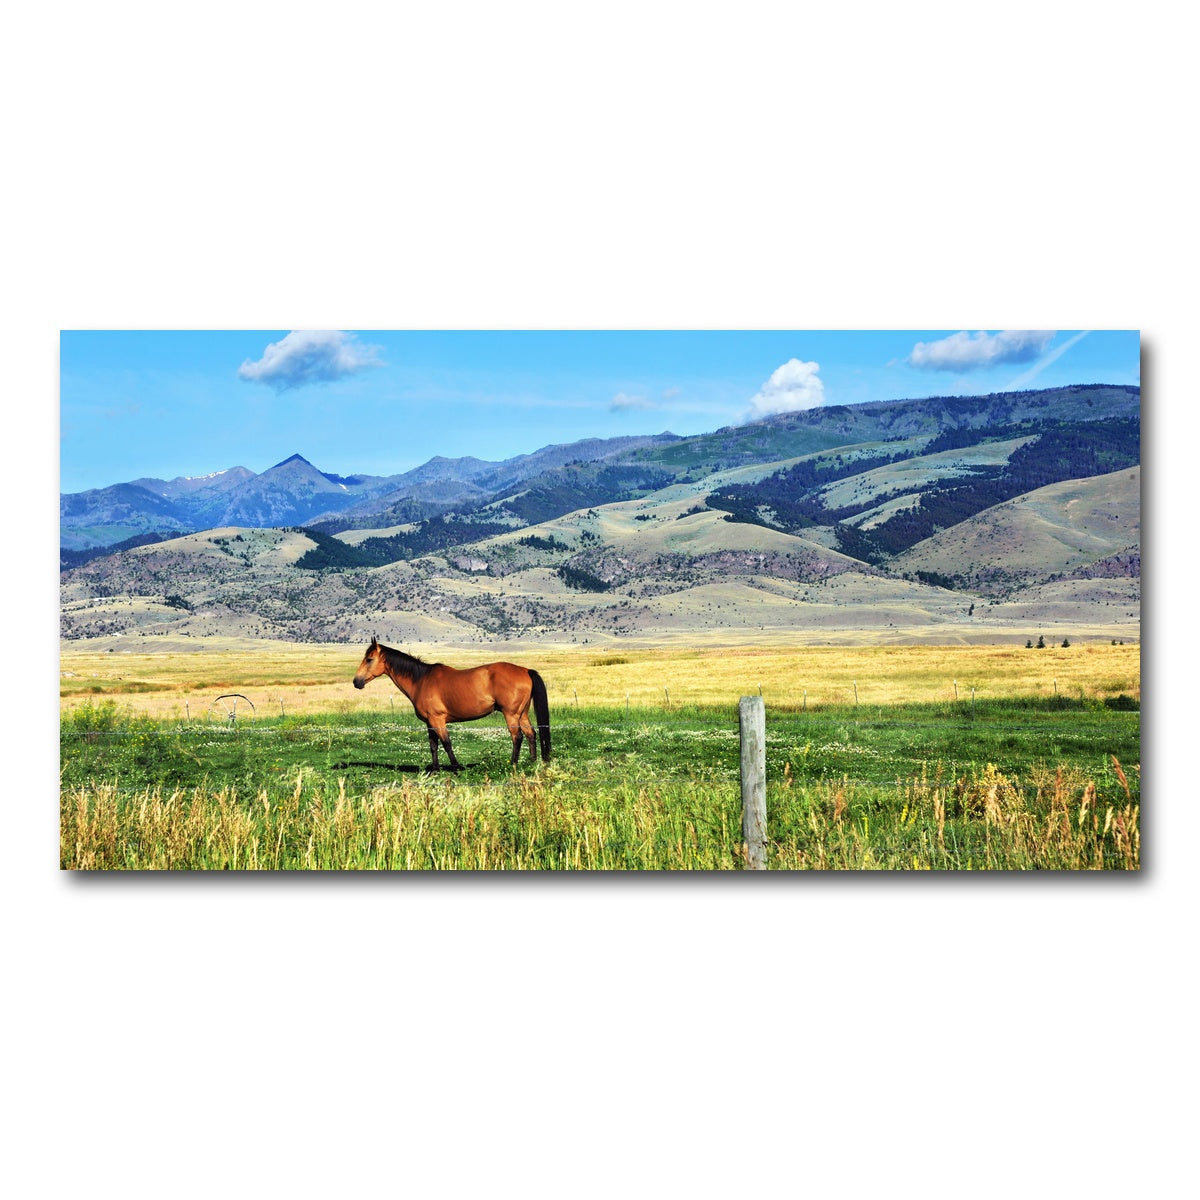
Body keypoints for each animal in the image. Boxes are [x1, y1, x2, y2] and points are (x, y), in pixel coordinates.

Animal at [352, 638, 551, 772]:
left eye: (369, 659)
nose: (356, 682)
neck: (421, 680)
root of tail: (526, 670)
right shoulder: (429, 722)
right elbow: (433, 745)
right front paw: (435, 770)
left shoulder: (438, 720)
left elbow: (447, 743)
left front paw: (456, 768)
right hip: (522, 714)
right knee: (531, 734)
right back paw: (532, 762)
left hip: (511, 714)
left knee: (517, 737)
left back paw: (513, 764)